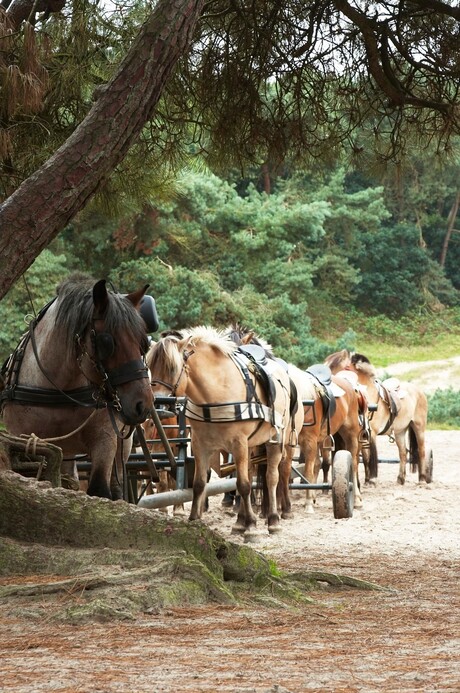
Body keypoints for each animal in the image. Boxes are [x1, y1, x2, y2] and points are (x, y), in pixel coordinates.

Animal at [0, 276, 155, 498]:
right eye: (106, 342)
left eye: (143, 343)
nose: (143, 404)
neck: (60, 389)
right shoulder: (21, 441)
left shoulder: (105, 440)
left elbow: (100, 489)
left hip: (122, 444)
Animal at [146, 328, 300, 536]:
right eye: (149, 366)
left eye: (172, 368)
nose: (159, 405)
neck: (215, 392)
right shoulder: (200, 444)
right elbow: (199, 483)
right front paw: (194, 519)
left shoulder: (238, 442)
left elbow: (243, 485)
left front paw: (252, 526)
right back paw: (240, 521)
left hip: (275, 441)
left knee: (272, 477)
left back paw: (273, 520)